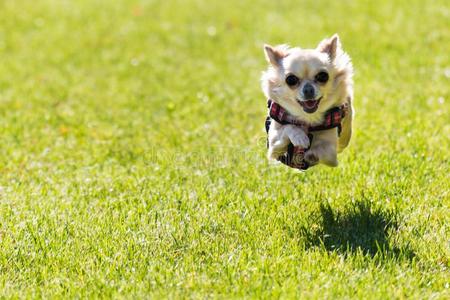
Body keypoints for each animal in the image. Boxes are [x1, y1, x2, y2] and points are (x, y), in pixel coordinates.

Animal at [262, 34, 354, 169]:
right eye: (291, 79)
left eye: (322, 76)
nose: (308, 89)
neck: (307, 118)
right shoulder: (273, 146)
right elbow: (288, 127)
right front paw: (300, 137)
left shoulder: (331, 155)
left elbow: (321, 152)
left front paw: (310, 154)